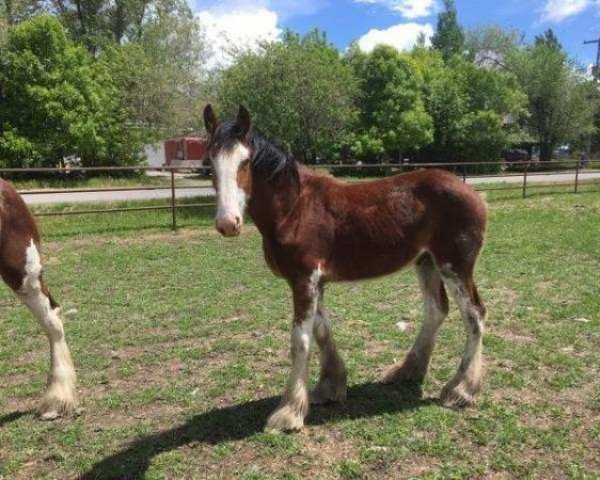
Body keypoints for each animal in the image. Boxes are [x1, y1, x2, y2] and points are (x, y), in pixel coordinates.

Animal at [204, 105, 486, 432]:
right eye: (209, 162)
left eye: (245, 161)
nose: (228, 223)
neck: (295, 208)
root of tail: (473, 194)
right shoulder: (316, 282)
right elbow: (322, 331)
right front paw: (329, 387)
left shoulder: (304, 281)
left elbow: (300, 341)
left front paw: (289, 412)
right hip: (426, 263)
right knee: (436, 310)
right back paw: (408, 371)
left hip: (456, 267)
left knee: (474, 315)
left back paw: (461, 389)